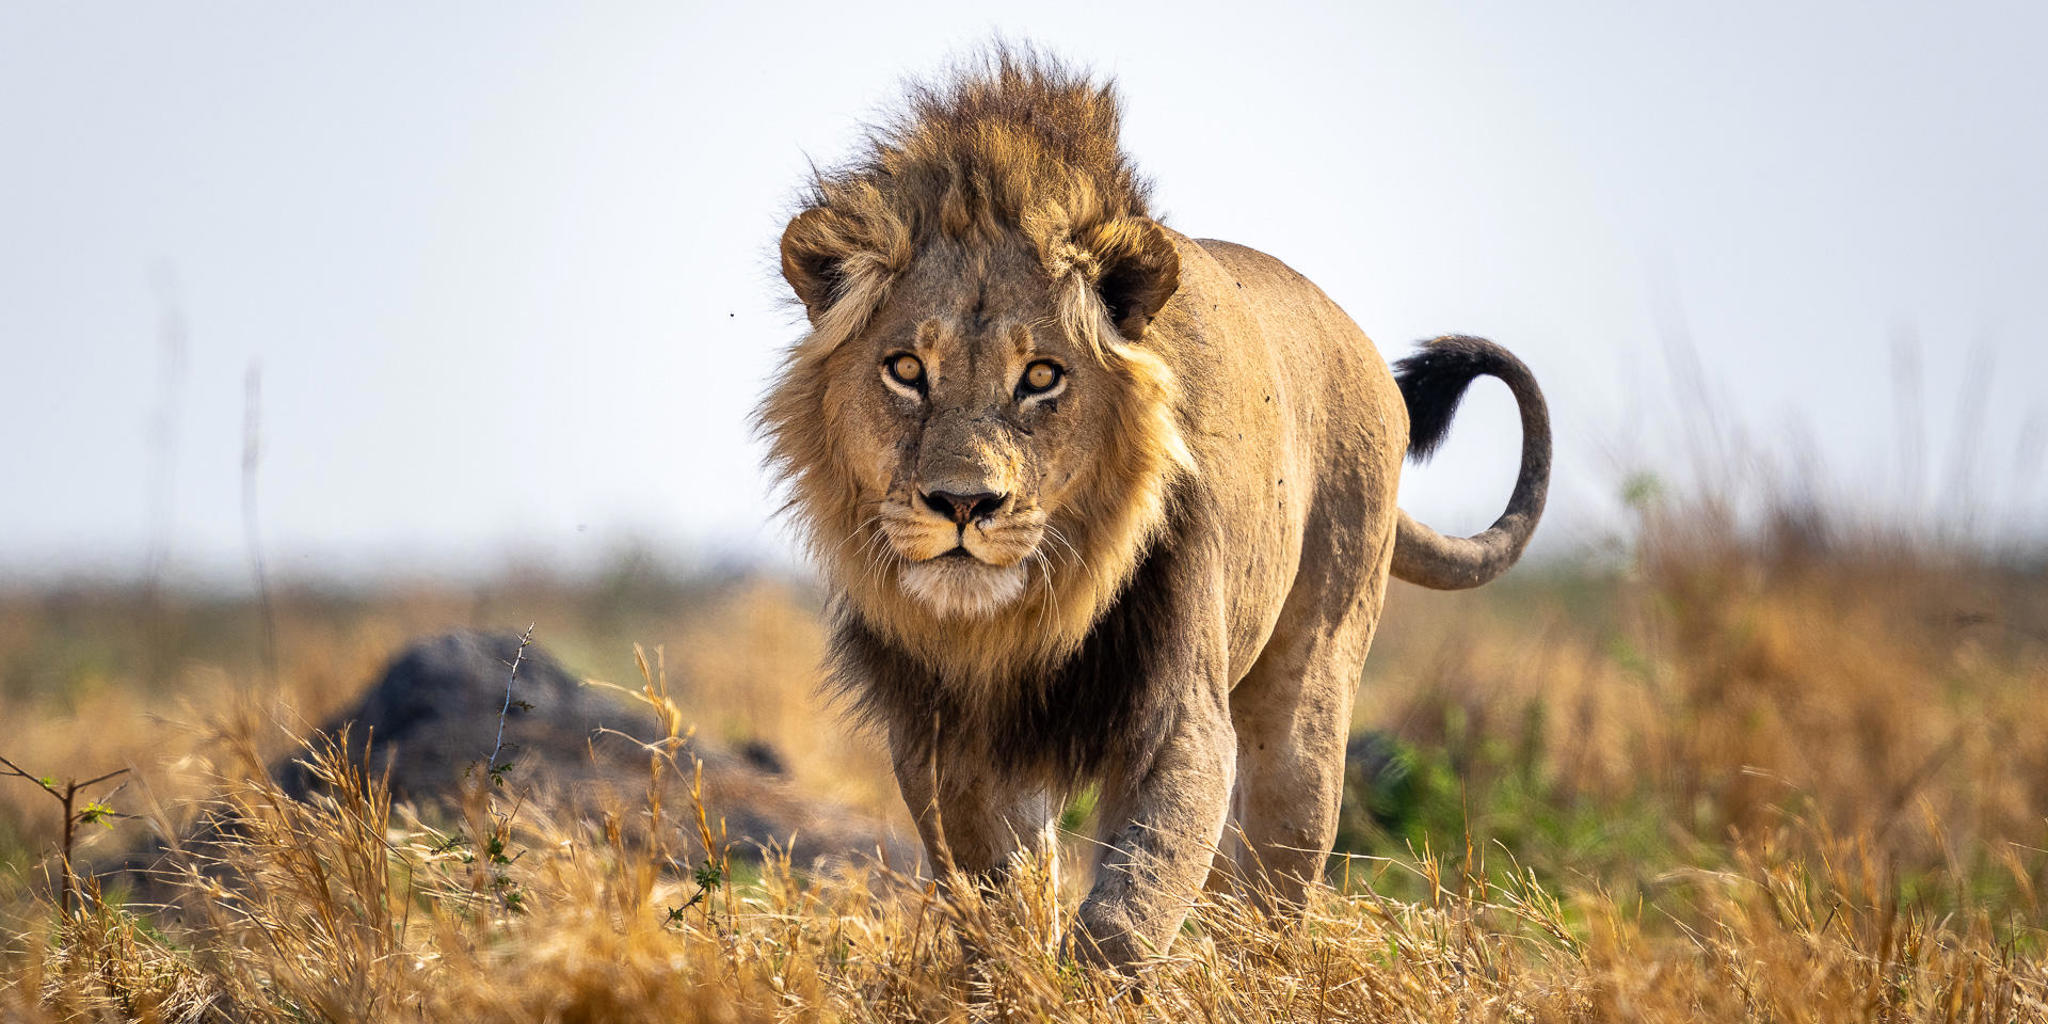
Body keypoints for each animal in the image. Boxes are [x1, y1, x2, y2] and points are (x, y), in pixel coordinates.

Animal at [757, 51, 1549, 968]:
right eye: (906, 370)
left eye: (1041, 377)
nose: (964, 502)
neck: (1013, 625)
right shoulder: (940, 737)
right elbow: (994, 890)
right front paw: (1009, 972)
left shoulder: (1179, 715)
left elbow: (1133, 900)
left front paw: (1094, 980)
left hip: (1314, 675)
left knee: (1280, 868)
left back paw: (1261, 975)